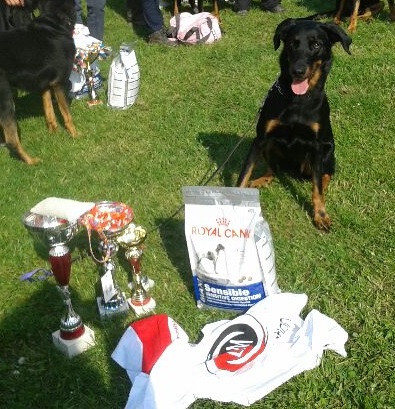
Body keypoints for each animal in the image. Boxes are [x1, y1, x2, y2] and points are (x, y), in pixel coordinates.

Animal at [0, 0, 77, 164]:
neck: (54, 23)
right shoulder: (60, 82)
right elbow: (67, 115)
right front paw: (76, 136)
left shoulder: (45, 83)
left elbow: (49, 112)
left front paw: (54, 134)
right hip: (6, 99)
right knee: (12, 139)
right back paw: (31, 161)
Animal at [238, 19, 352, 230]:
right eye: (292, 43)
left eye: (316, 45)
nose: (297, 71)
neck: (298, 100)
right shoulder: (260, 139)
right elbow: (245, 173)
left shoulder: (317, 145)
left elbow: (317, 189)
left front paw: (320, 215)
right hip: (270, 146)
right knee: (273, 169)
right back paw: (263, 179)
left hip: (328, 151)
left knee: (325, 175)